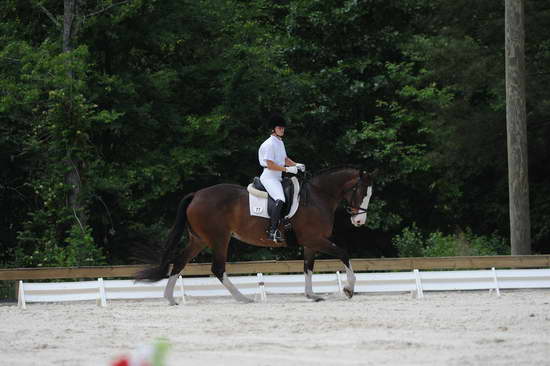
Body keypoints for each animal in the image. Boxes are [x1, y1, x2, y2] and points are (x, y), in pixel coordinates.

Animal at [136, 167, 378, 304]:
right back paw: (243, 298)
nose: (359, 222)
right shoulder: (314, 240)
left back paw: (170, 298)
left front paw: (311, 295)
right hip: (219, 238)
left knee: (179, 262)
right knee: (217, 268)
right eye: (360, 192)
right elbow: (343, 253)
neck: (318, 197)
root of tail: (197, 195)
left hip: (199, 240)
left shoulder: (310, 244)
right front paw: (348, 289)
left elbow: (308, 267)